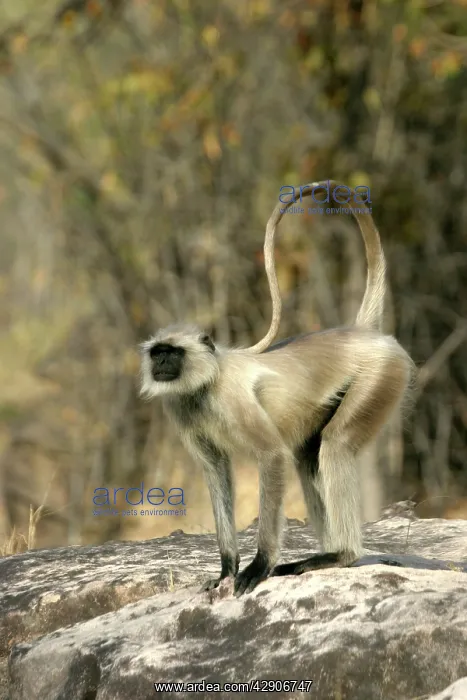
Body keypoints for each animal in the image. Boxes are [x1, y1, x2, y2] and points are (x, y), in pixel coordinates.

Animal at [139, 181, 415, 596]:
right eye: (157, 353)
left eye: (173, 352)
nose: (161, 364)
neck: (204, 384)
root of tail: (362, 333)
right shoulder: (180, 407)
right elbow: (216, 470)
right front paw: (227, 567)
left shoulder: (230, 397)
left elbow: (271, 456)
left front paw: (259, 565)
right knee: (309, 458)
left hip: (380, 375)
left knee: (334, 446)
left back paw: (341, 555)